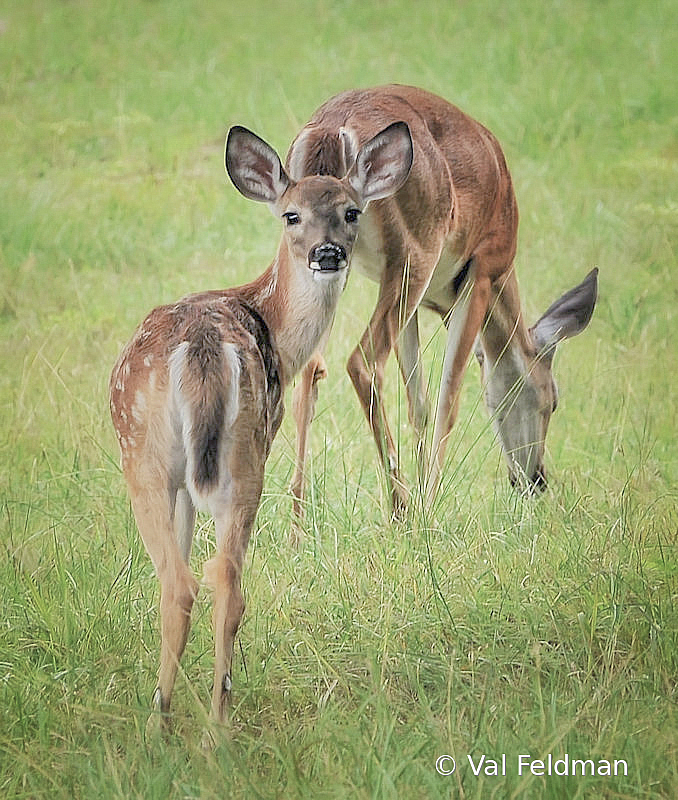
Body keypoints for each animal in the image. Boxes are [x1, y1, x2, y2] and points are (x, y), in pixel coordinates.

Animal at [109, 122, 414, 728]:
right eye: (291, 215)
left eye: (351, 211)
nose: (327, 252)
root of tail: (202, 347)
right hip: (225, 455)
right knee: (216, 579)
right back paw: (206, 723)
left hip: (163, 455)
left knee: (187, 582)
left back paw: (173, 721)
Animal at [286, 84, 600, 516]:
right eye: (552, 400)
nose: (535, 481)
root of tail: (334, 130)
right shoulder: (480, 271)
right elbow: (447, 399)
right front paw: (427, 508)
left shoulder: (415, 300)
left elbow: (418, 400)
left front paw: (422, 492)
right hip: (414, 254)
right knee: (363, 361)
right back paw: (400, 508)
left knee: (309, 367)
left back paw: (299, 520)